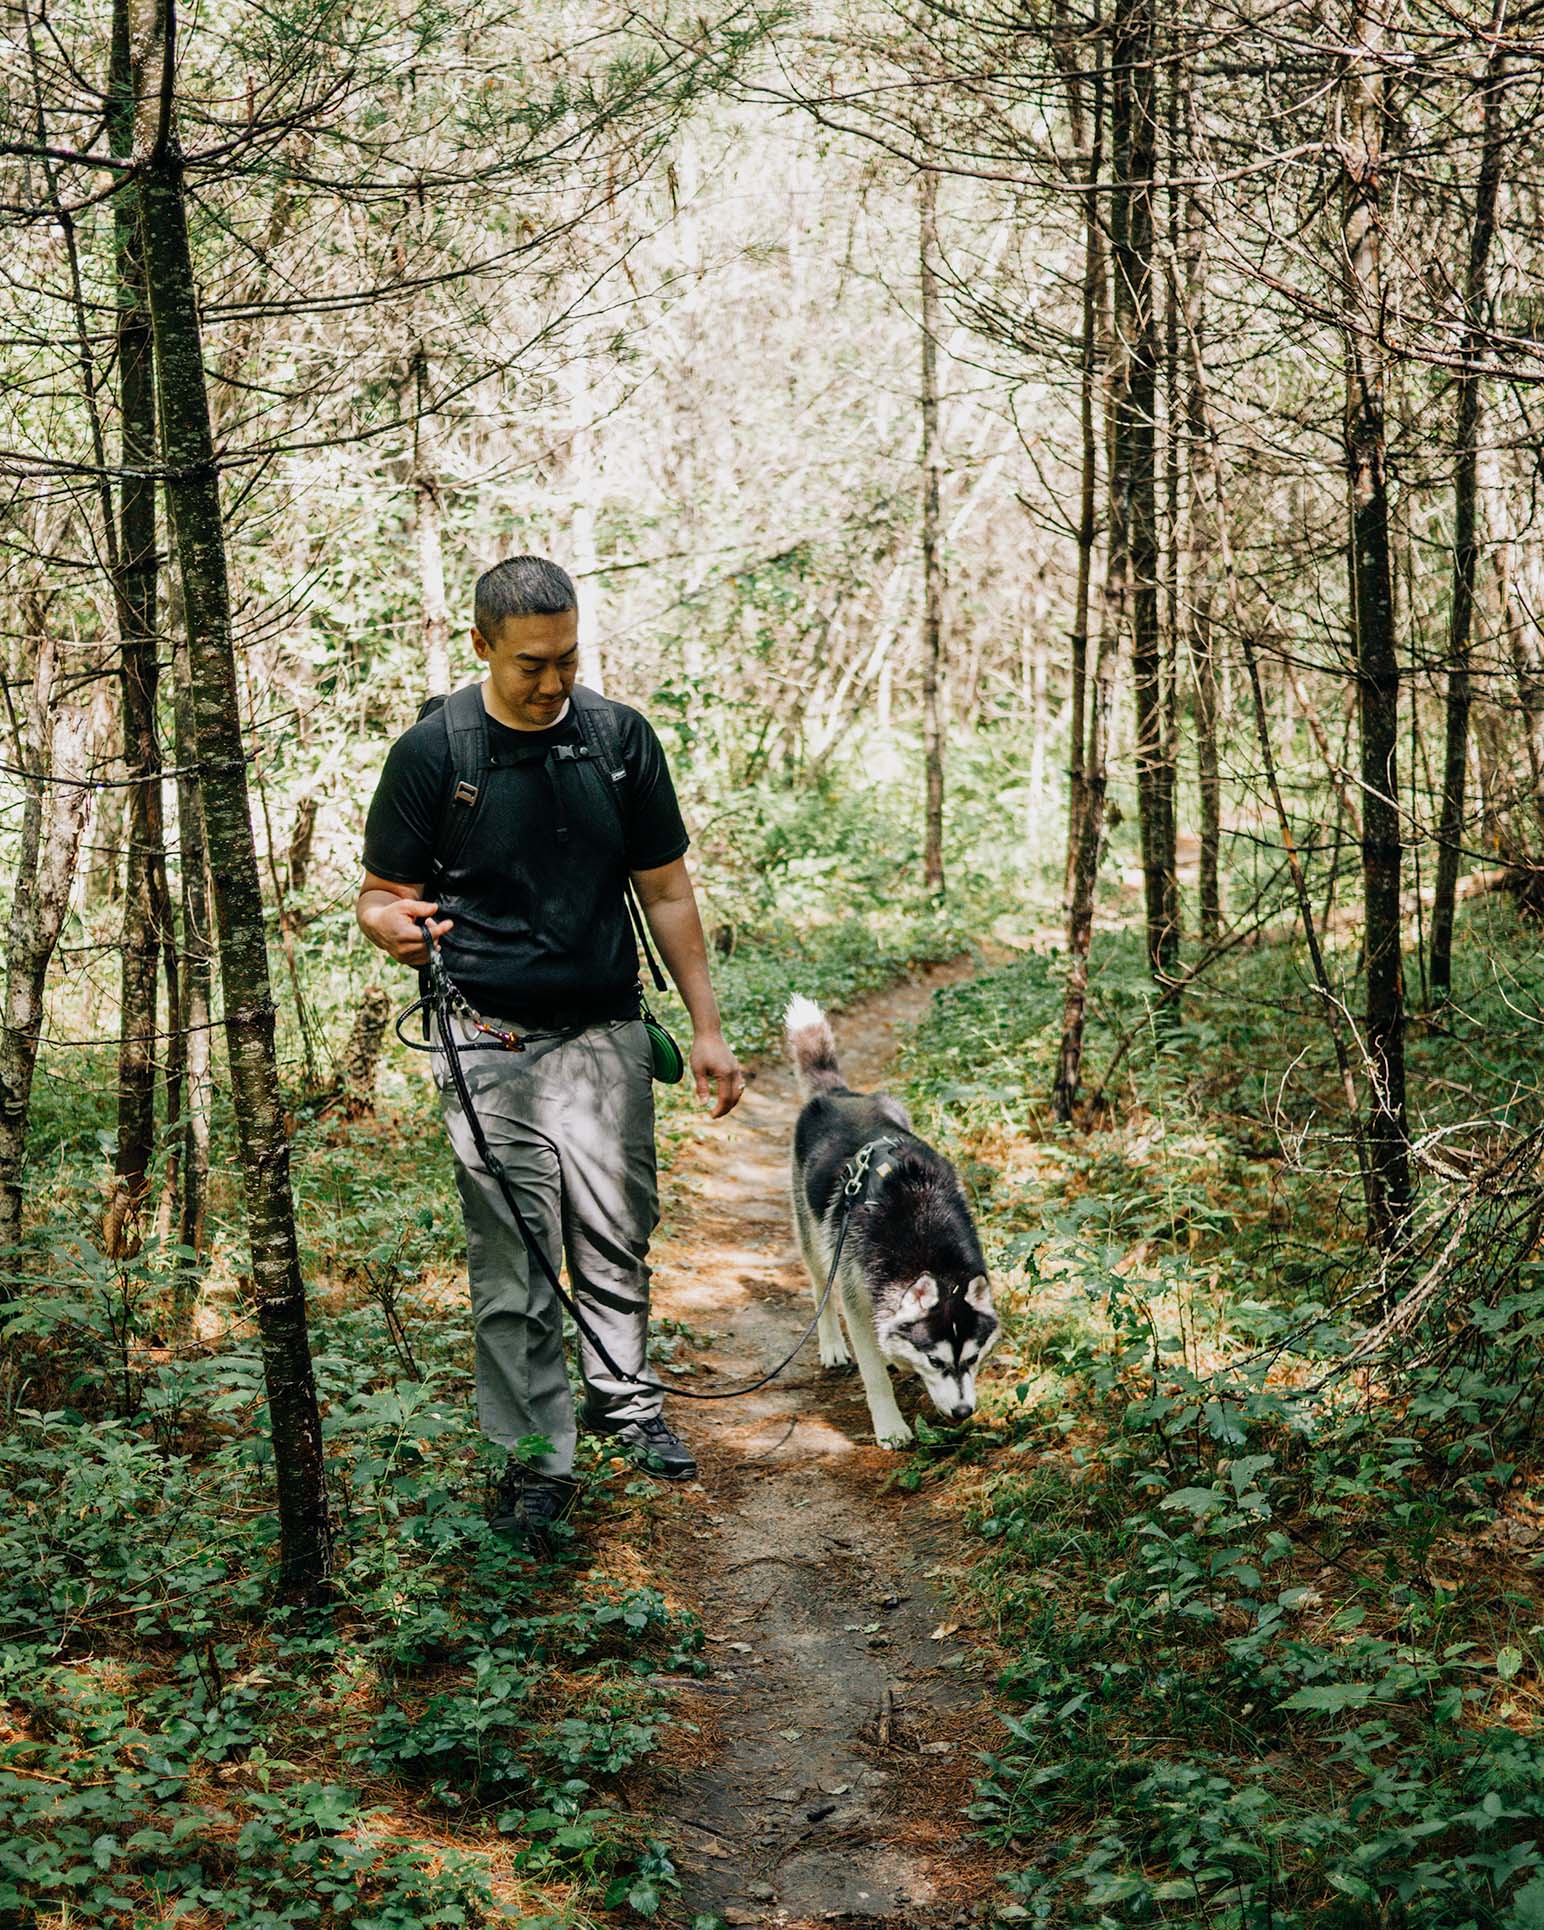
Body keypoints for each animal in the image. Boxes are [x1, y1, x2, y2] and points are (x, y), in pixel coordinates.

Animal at [783, 1003, 1003, 1443]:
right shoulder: (855, 1295)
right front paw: (890, 1426)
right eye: (936, 1362)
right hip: (815, 1239)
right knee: (818, 1286)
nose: (963, 1412)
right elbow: (874, 1374)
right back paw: (831, 1344)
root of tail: (837, 1095)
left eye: (973, 1359)